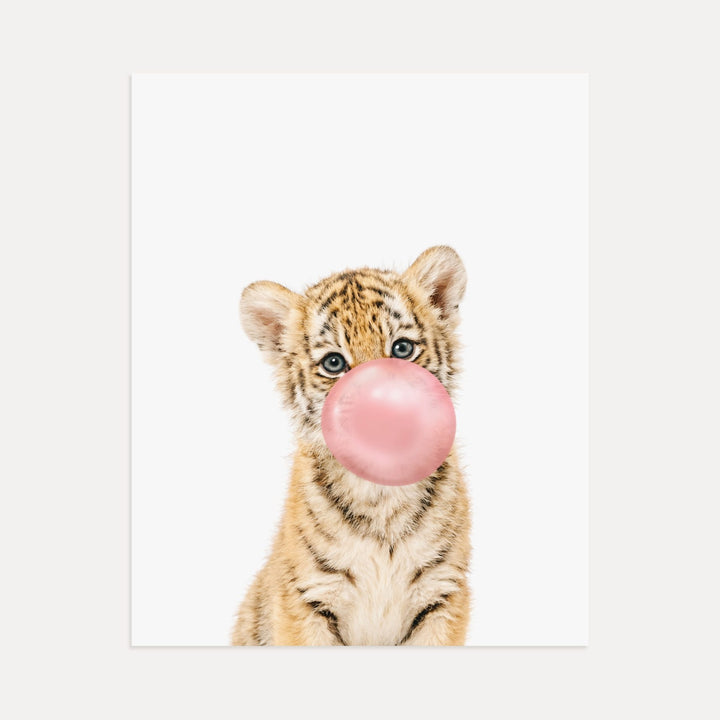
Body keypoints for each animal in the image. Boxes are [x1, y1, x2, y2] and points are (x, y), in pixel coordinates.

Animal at [231, 245, 471, 646]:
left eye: (402, 349)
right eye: (334, 363)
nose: (382, 408)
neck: (382, 494)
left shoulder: (443, 593)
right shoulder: (306, 598)